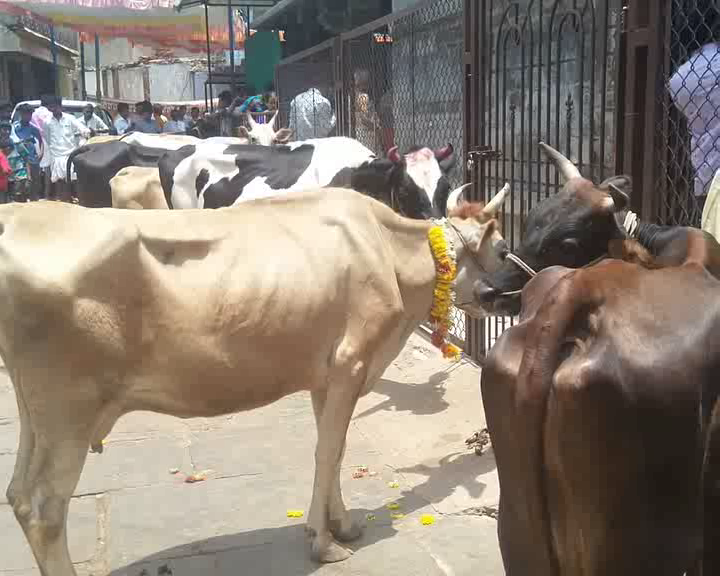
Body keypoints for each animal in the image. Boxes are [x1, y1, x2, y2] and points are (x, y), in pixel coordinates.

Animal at [5, 184, 510, 572]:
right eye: (503, 248)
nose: (500, 295)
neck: (390, 251)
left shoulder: (326, 376)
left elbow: (337, 449)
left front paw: (341, 523)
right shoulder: (351, 363)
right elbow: (327, 452)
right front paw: (324, 543)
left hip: (36, 411)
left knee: (19, 496)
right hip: (68, 407)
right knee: (46, 511)